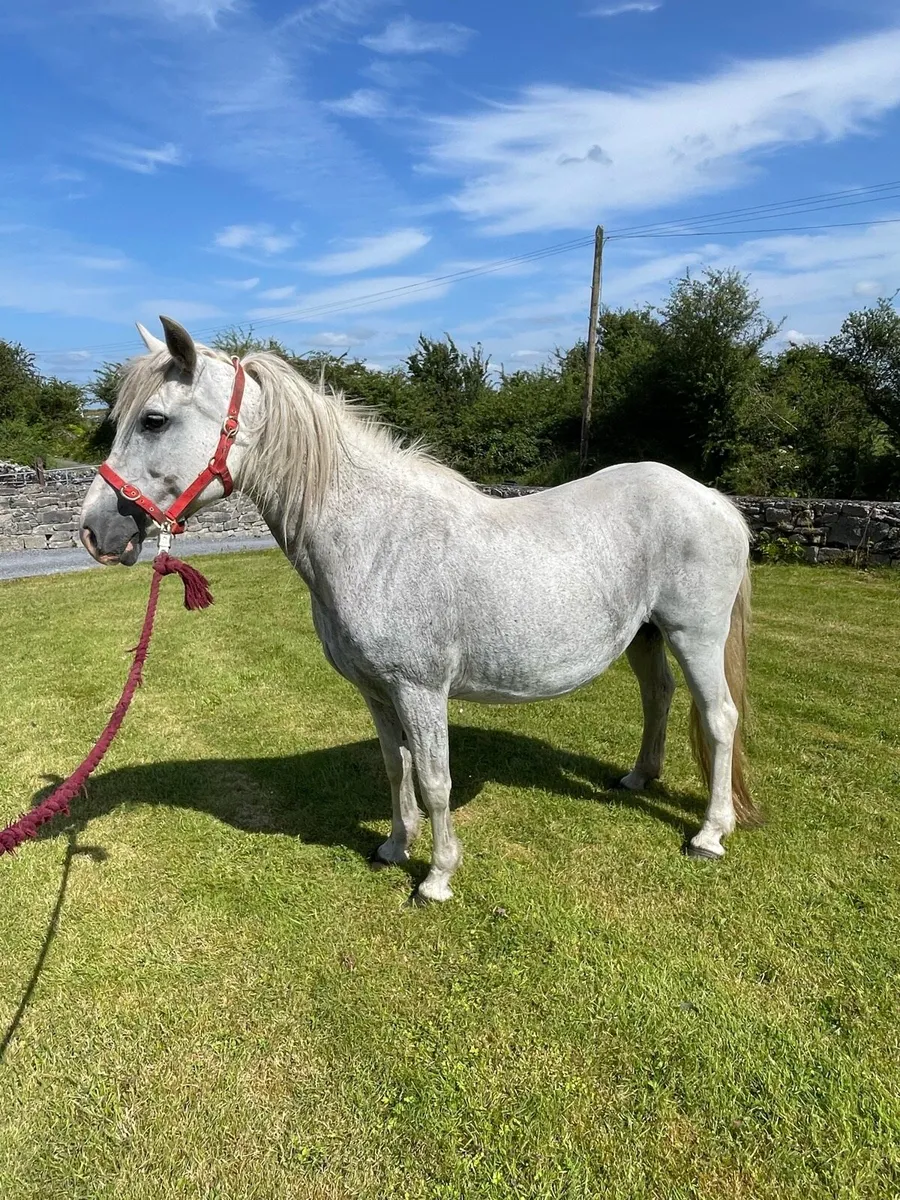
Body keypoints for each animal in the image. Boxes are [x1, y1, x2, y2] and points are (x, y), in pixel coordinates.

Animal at [79, 317, 759, 902]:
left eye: (155, 420)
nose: (95, 532)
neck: (375, 536)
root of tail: (713, 499)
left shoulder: (420, 689)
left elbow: (435, 780)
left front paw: (437, 877)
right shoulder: (376, 690)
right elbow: (394, 767)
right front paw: (393, 848)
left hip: (694, 634)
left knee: (719, 718)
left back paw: (709, 833)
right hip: (646, 635)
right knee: (659, 697)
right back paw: (638, 779)